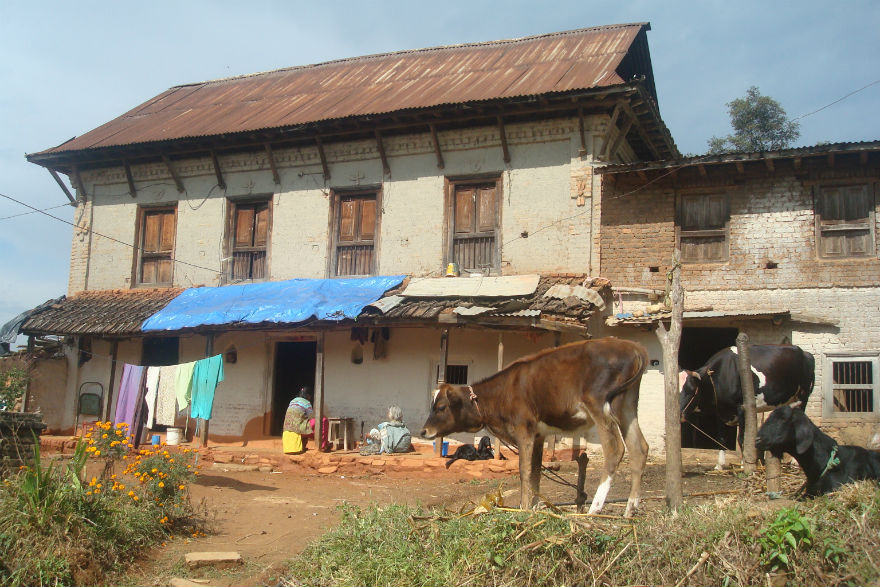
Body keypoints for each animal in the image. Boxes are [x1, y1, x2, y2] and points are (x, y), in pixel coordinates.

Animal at [422, 338, 648, 516]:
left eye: (440, 407)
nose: (424, 431)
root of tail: (632, 347)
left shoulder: (524, 429)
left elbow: (524, 470)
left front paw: (524, 508)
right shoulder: (539, 434)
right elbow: (537, 471)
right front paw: (536, 506)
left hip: (599, 405)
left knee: (615, 448)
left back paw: (595, 509)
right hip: (627, 407)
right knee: (639, 448)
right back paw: (630, 508)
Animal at [680, 344, 820, 468]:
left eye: (691, 391)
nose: (679, 414)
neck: (720, 375)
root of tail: (805, 353)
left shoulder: (742, 407)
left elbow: (742, 438)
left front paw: (744, 464)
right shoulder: (721, 411)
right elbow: (721, 438)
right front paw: (719, 465)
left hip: (803, 397)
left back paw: (795, 462)